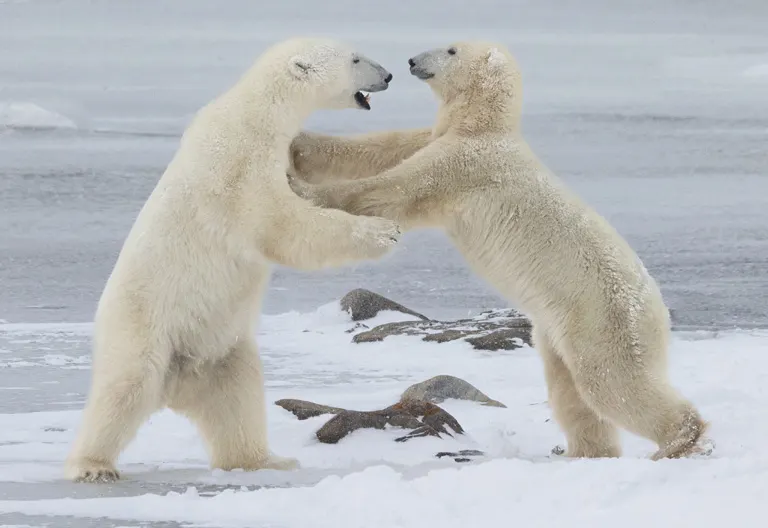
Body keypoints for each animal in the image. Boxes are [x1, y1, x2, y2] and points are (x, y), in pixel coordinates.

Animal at [65, 37, 401, 483]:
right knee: (125, 388)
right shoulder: (238, 168)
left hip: (223, 350)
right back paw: (93, 466)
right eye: (356, 58)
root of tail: (177, 382)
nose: (388, 75)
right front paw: (382, 230)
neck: (257, 113)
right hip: (143, 326)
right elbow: (283, 225)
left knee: (239, 397)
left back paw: (265, 459)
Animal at [288, 41, 710, 461]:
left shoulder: (465, 165)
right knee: (570, 391)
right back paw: (582, 453)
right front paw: (298, 145)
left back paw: (679, 441)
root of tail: (656, 305)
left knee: (611, 384)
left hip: (601, 320)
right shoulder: (440, 138)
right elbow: (380, 148)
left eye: (450, 50)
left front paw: (299, 188)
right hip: (557, 334)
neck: (484, 126)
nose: (410, 61)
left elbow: (392, 190)